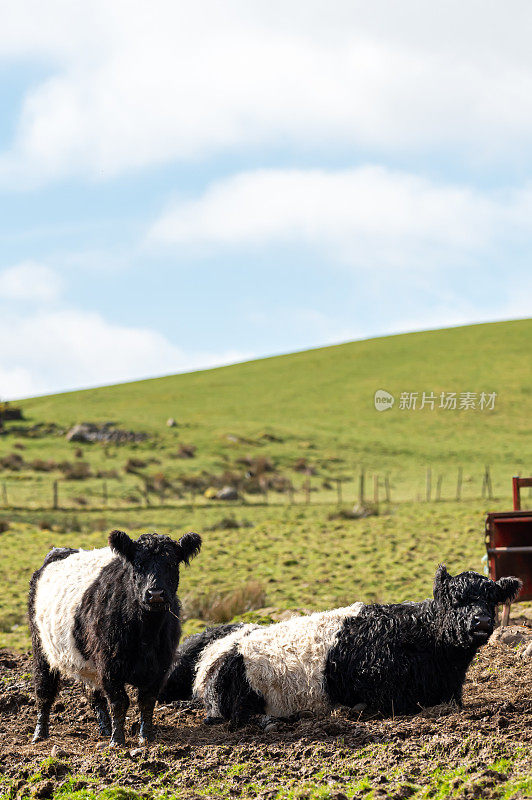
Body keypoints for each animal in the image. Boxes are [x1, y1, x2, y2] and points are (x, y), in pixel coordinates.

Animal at [28, 528, 202, 748]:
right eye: (138, 564)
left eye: (171, 563)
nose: (155, 594)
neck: (146, 632)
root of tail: (59, 551)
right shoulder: (110, 666)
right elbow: (120, 702)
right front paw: (118, 741)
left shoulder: (160, 665)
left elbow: (147, 701)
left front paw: (146, 737)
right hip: (41, 649)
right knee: (44, 690)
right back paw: (40, 733)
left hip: (87, 662)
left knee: (94, 694)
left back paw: (105, 729)